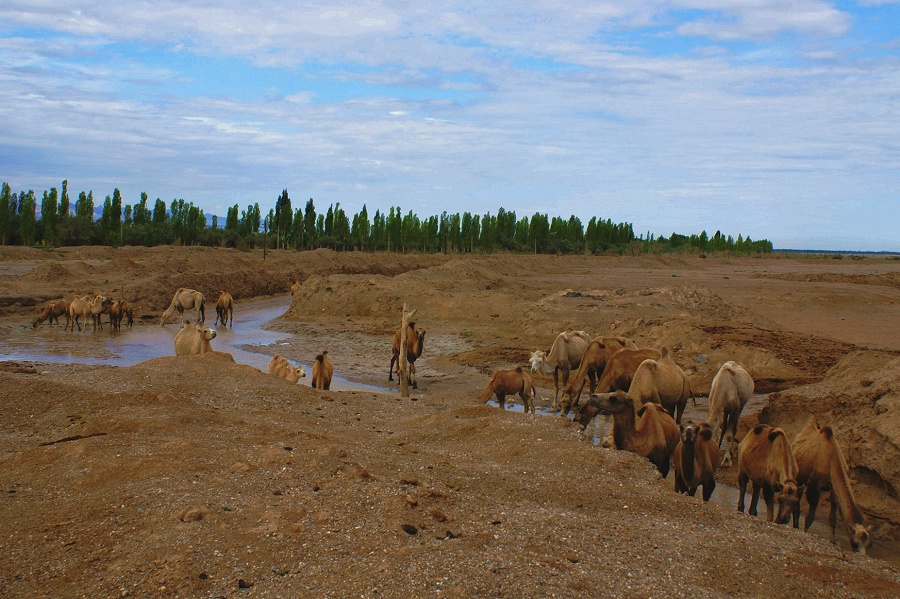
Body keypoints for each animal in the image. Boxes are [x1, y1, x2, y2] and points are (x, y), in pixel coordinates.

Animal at [796, 420, 872, 556]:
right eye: (854, 543)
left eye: (869, 544)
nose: (862, 555)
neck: (832, 461)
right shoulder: (814, 485)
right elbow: (810, 517)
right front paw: (805, 532)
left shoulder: (833, 489)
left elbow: (833, 518)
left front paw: (833, 540)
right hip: (798, 474)